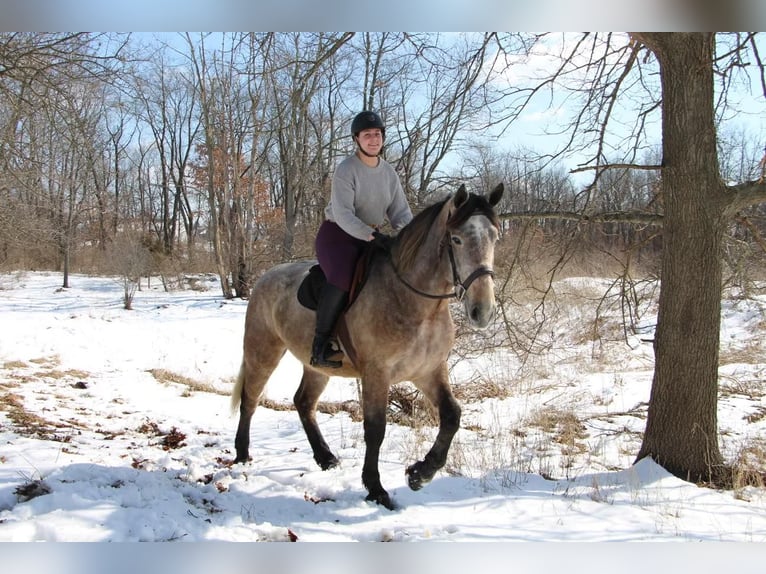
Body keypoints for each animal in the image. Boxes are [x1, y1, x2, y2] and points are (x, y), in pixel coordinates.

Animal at [231, 182, 508, 510]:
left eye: (495, 237)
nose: (483, 311)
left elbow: (452, 415)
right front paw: (376, 489)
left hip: (317, 366)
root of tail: (266, 277)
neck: (417, 304)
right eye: (456, 239)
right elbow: (375, 429)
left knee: (303, 402)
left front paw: (420, 474)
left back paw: (325, 458)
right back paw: (242, 454)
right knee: (250, 398)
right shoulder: (377, 373)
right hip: (263, 350)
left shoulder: (428, 370)